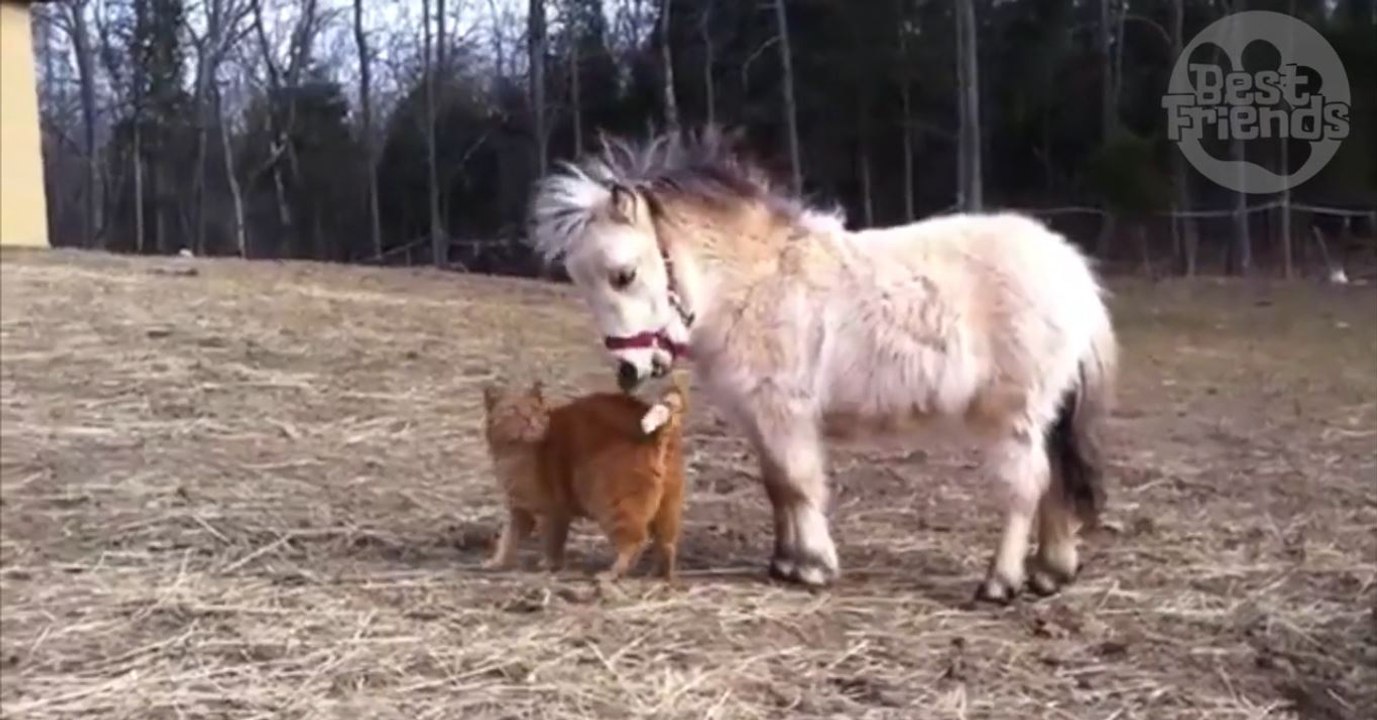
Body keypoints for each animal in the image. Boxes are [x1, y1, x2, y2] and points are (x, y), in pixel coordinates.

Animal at [525, 126, 1118, 603]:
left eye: (623, 274)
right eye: (581, 281)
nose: (630, 371)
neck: (752, 282)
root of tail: (1073, 273)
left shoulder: (784, 410)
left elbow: (799, 480)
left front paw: (813, 566)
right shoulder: (758, 416)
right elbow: (776, 486)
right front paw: (784, 562)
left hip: (1013, 414)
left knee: (1026, 487)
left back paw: (1000, 582)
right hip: (1045, 413)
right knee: (1056, 481)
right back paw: (1049, 573)